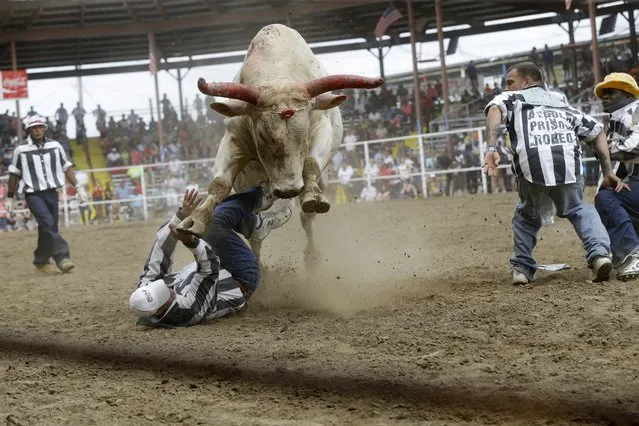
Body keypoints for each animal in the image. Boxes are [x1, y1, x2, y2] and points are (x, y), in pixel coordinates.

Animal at [178, 25, 382, 260]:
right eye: (261, 135)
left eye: (304, 136)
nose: (288, 190)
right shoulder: (234, 139)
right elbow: (219, 184)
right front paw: (194, 221)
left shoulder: (321, 129)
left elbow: (310, 163)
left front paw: (311, 195)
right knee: (255, 221)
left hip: (319, 181)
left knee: (305, 217)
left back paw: (311, 253)